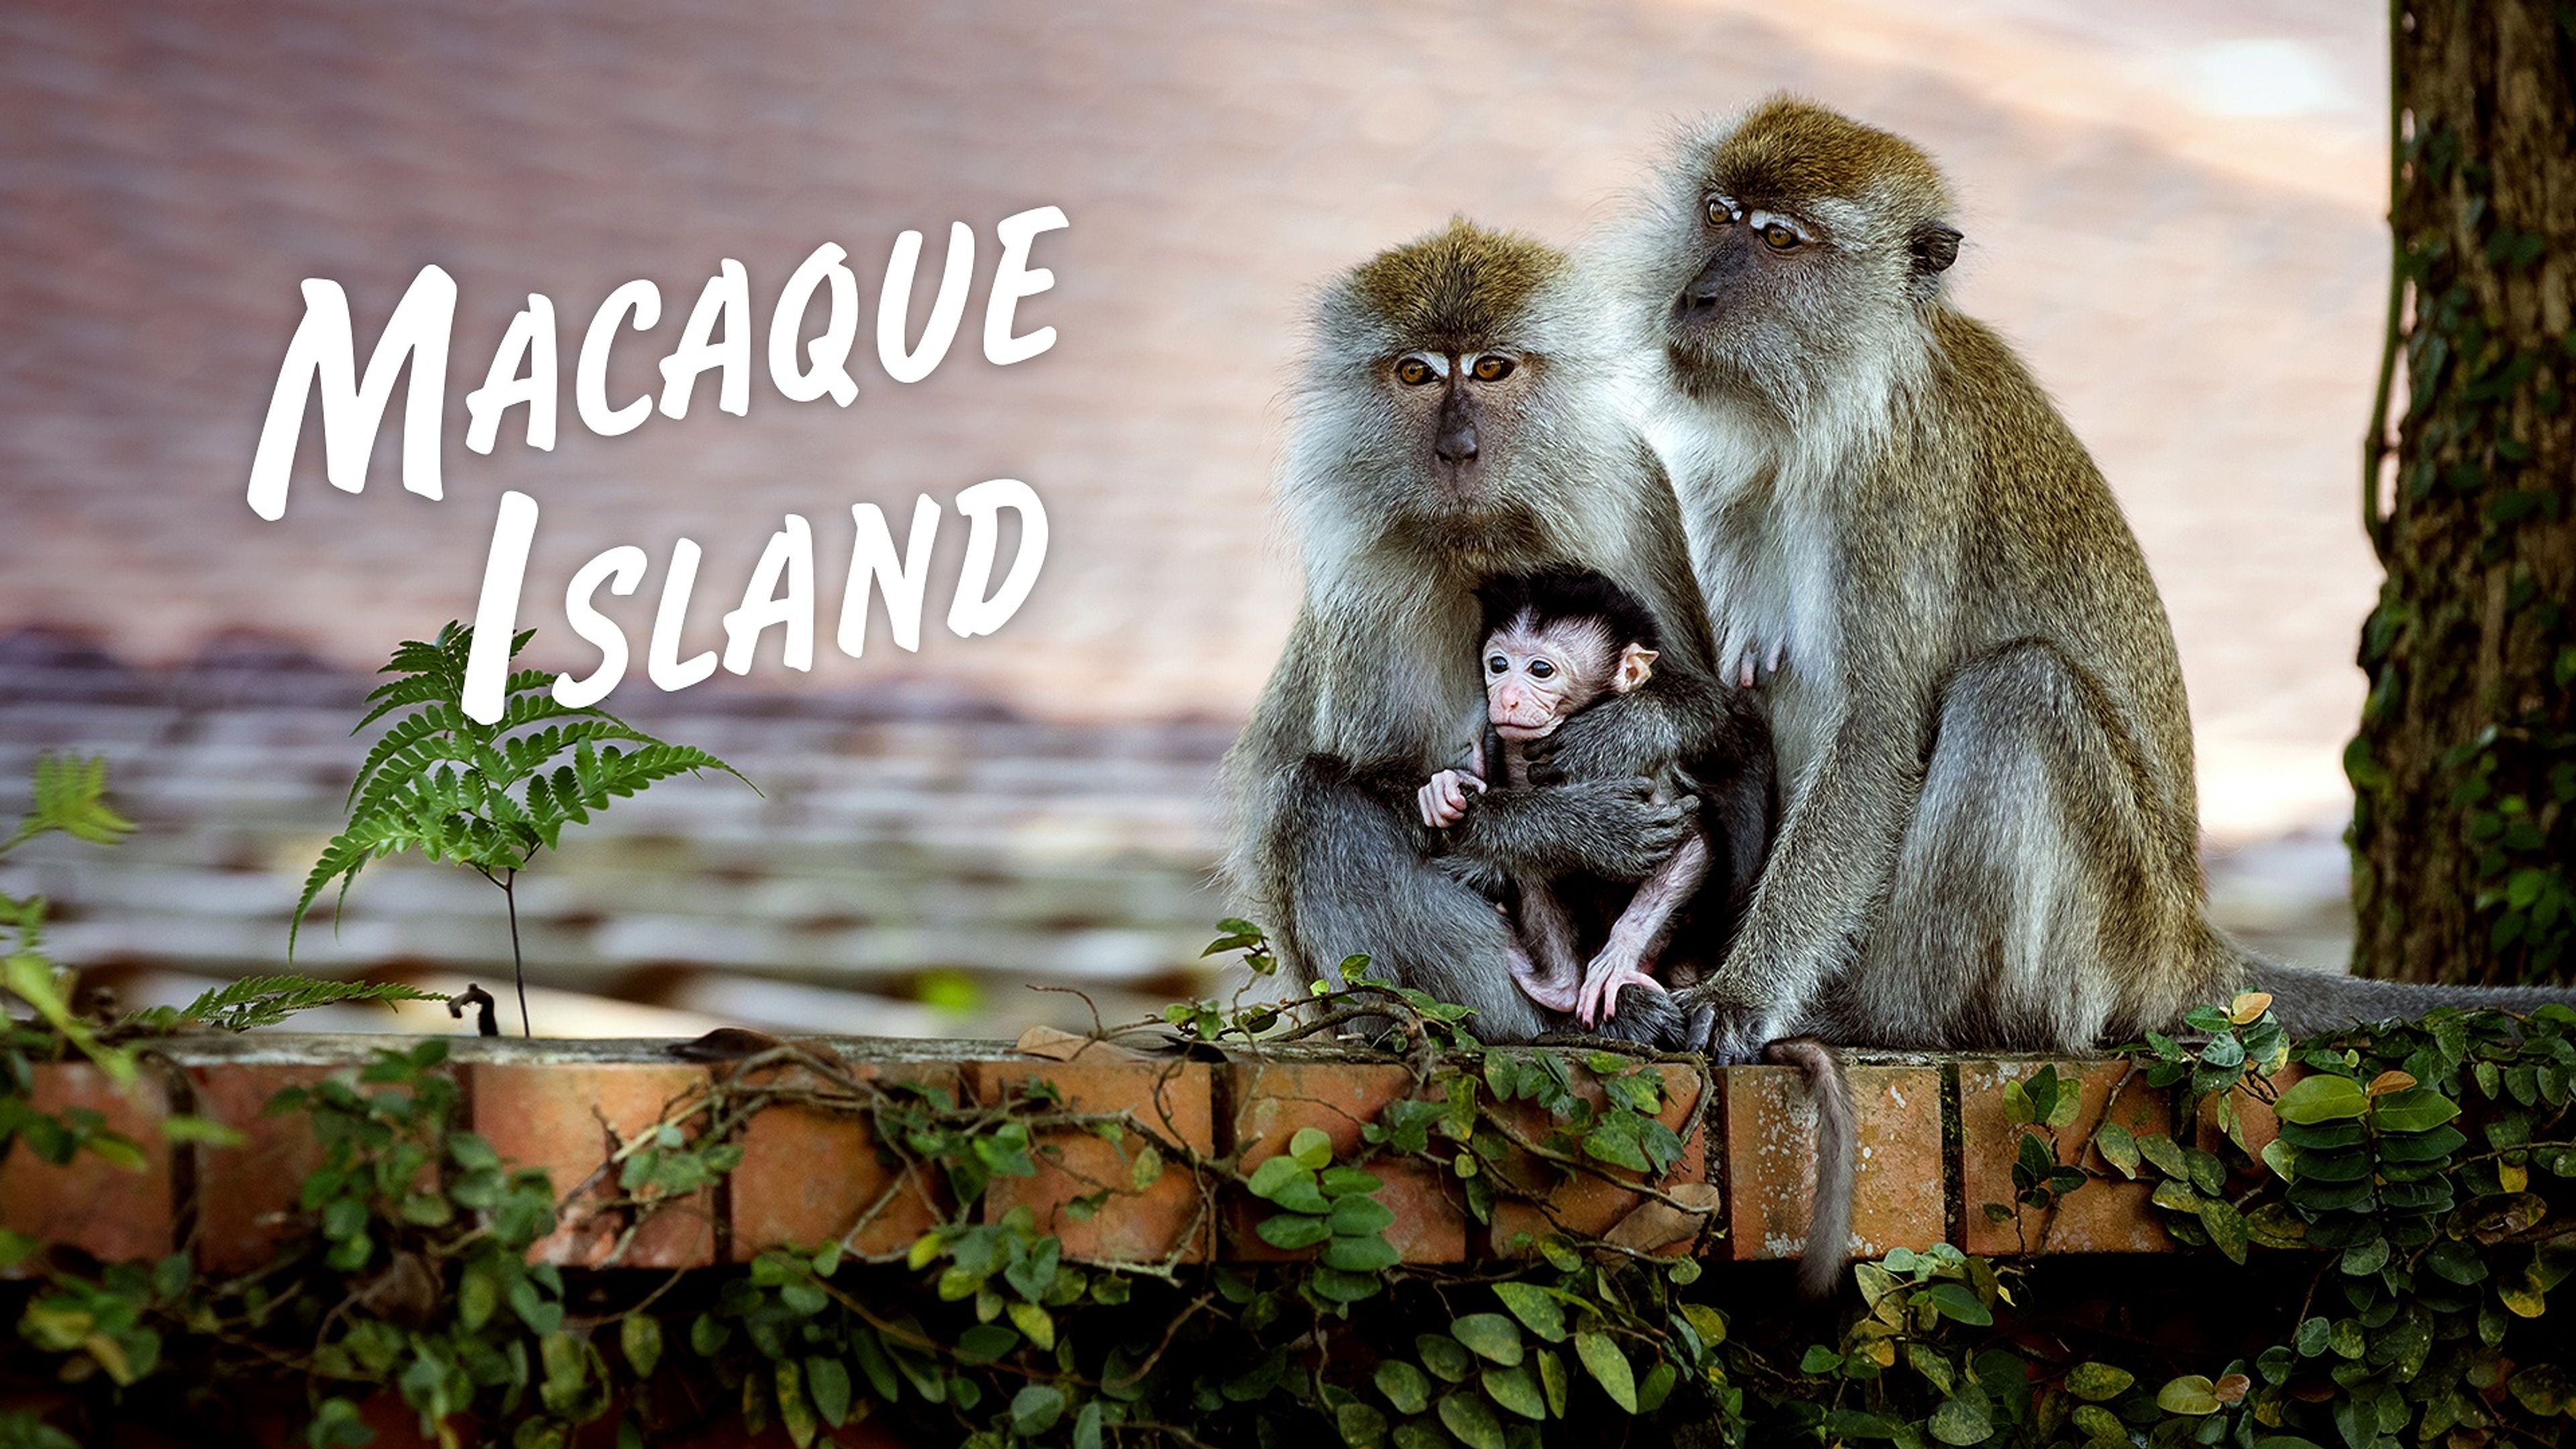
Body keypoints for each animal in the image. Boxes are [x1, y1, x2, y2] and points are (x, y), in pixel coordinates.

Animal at [1415, 566, 1775, 1031]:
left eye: (1541, 670)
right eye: (1498, 665)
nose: (1506, 698)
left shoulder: (1639, 772)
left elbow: (1691, 844)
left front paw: (1620, 953)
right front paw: (1444, 791)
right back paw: (1556, 984)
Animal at [1597, 94, 2574, 1066]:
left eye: (1780, 239)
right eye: (1718, 215)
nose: (1698, 294)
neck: (1833, 409)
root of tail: (2193, 943)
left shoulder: (1896, 495)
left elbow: (1872, 736)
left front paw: (1742, 995)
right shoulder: (1726, 482)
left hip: (2111, 937)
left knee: (2021, 692)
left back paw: (1886, 1015)